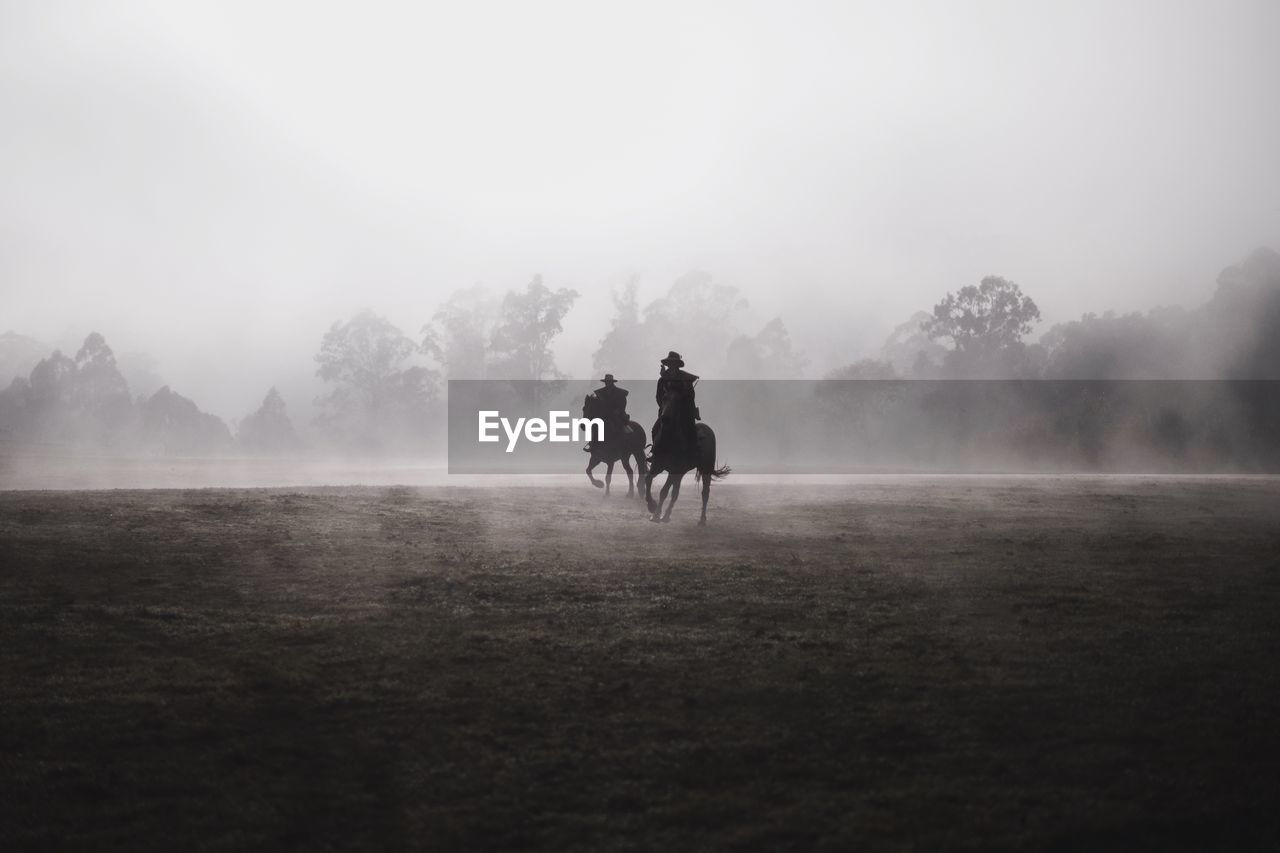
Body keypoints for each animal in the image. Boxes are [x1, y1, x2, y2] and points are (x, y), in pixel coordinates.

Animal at [645, 389, 727, 522]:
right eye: (664, 398)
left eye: (678, 400)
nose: (665, 418)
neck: (668, 441)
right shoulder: (657, 466)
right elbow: (648, 479)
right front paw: (652, 506)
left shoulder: (674, 470)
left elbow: (664, 491)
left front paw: (656, 514)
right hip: (682, 472)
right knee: (675, 493)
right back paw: (666, 516)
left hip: (705, 469)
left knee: (705, 493)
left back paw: (702, 520)